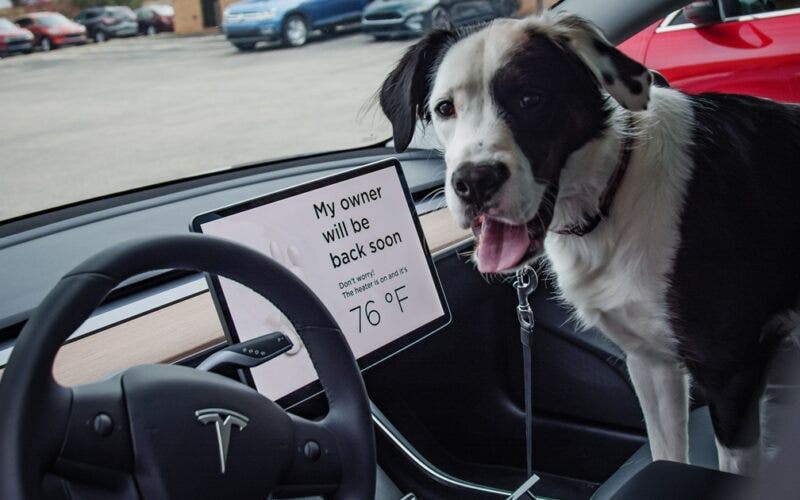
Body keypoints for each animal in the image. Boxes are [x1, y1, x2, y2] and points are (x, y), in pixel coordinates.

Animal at [380, 9, 800, 474]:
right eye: (445, 108)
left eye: (531, 99)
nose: (473, 182)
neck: (608, 195)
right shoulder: (650, 361)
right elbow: (667, 453)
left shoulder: (732, 373)